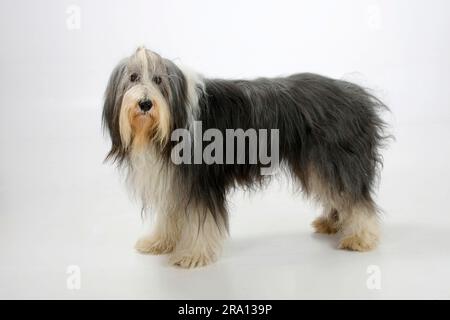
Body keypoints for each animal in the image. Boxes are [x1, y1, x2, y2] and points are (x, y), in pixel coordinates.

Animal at [102, 47, 386, 268]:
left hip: (332, 161)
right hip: (318, 164)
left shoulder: (200, 183)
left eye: (159, 79)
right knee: (339, 195)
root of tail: (355, 94)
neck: (176, 113)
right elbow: (168, 216)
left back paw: (361, 237)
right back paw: (332, 223)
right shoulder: (174, 181)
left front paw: (194, 254)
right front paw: (159, 242)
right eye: (133, 77)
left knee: (356, 200)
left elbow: (200, 220)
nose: (145, 103)